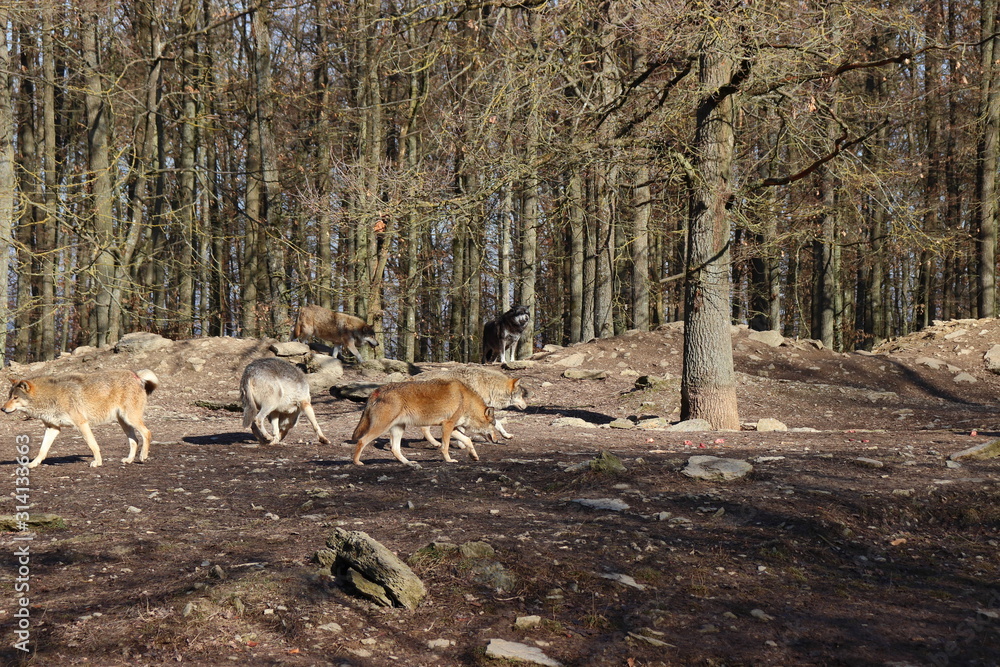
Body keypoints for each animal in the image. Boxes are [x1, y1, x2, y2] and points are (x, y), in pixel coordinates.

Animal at [2, 368, 159, 468]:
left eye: (15, 398)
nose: (2, 409)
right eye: (9, 397)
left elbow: (93, 446)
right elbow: (42, 450)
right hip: (124, 422)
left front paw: (98, 463)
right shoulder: (53, 428)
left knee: (147, 433)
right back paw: (129, 460)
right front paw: (33, 464)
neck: (49, 397)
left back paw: (142, 457)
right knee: (135, 440)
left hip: (130, 419)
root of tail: (136, 375)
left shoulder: (82, 424)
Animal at [350, 379, 498, 466]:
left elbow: (468, 440)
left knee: (395, 449)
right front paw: (449, 460)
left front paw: (474, 456)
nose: (496, 440)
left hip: (399, 428)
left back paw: (409, 463)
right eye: (494, 425)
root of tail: (377, 390)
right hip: (381, 428)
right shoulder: (447, 426)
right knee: (361, 441)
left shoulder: (452, 427)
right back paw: (357, 462)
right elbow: (445, 447)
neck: (466, 400)